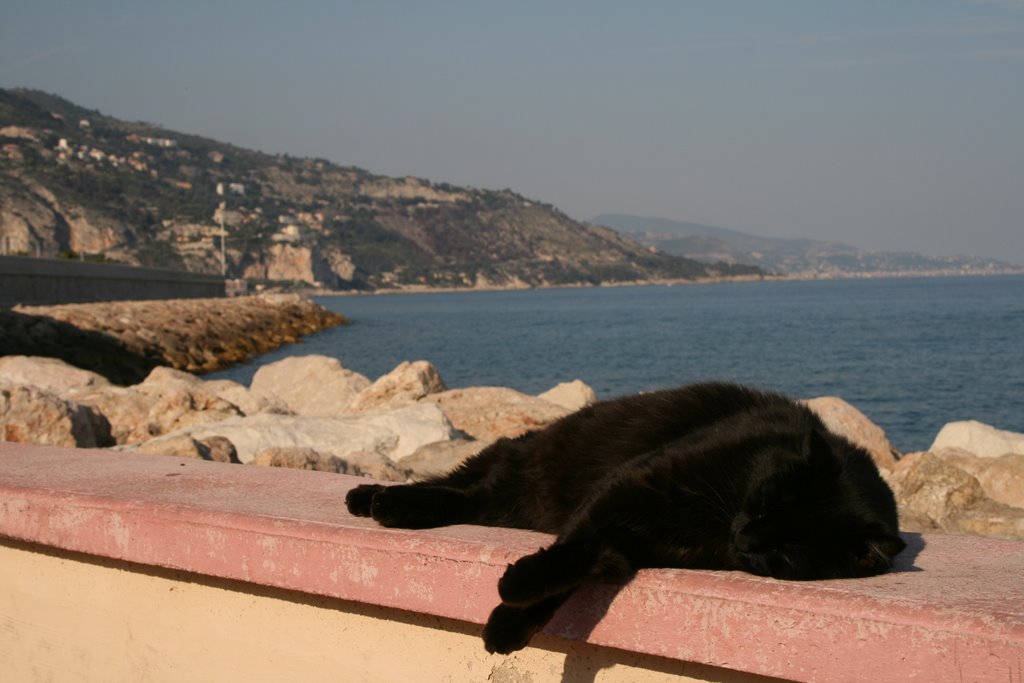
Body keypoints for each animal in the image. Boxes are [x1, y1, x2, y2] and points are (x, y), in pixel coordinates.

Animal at [344, 382, 905, 655]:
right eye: (766, 500)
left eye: (786, 552)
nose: (748, 538)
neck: (718, 519)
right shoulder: (633, 485)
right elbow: (570, 549)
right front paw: (512, 595)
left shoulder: (626, 541)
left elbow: (573, 569)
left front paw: (510, 620)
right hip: (522, 463)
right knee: (459, 484)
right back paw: (376, 499)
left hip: (512, 495)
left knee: (467, 498)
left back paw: (385, 505)